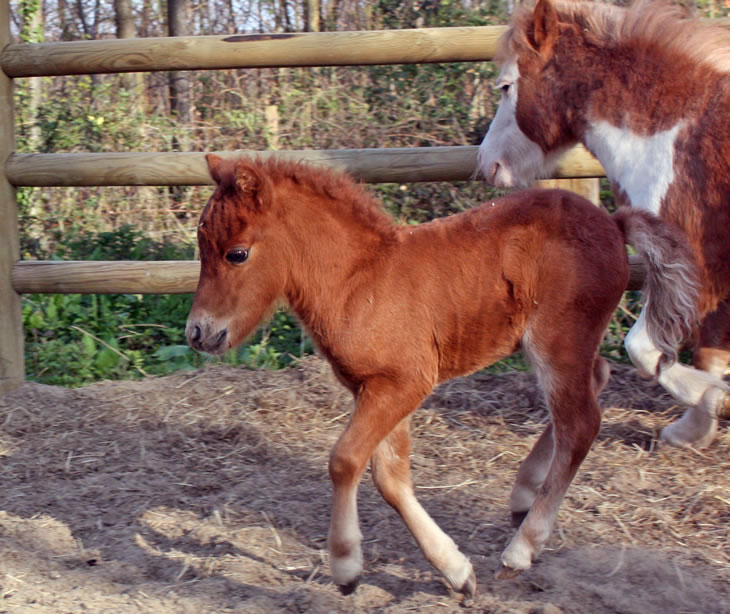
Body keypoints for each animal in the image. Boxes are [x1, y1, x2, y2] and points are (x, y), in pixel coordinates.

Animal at [185, 156, 696, 600]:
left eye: (237, 253)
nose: (198, 333)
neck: (359, 281)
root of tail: (612, 223)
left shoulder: (406, 383)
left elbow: (345, 461)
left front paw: (346, 568)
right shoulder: (375, 388)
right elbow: (390, 478)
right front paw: (456, 572)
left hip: (557, 341)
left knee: (581, 422)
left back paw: (521, 550)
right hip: (557, 346)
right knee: (593, 383)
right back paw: (523, 493)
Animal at [478, 0, 728, 452]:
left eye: (506, 86)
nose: (487, 162)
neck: (675, 134)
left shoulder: (696, 268)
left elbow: (644, 349)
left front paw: (714, 403)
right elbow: (711, 352)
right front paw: (692, 430)